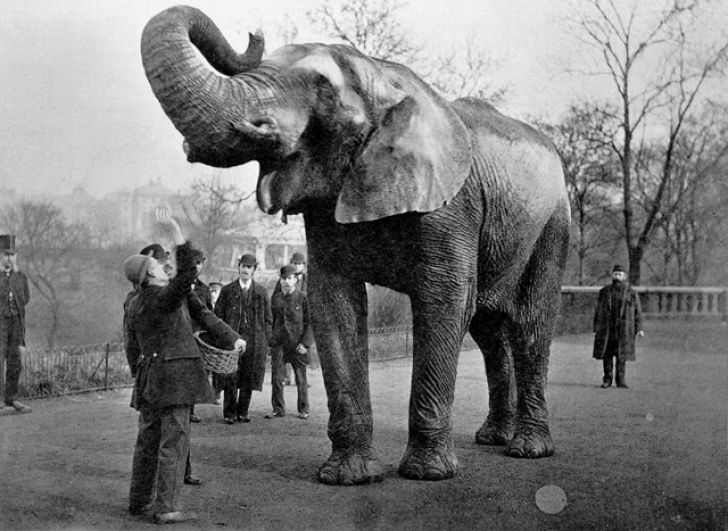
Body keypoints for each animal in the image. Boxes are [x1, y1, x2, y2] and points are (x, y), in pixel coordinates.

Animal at [142, 5, 572, 486]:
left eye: (323, 90)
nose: (253, 33)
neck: (385, 77)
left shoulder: (450, 206)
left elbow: (445, 301)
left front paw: (426, 474)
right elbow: (334, 304)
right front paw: (348, 477)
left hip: (553, 225)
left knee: (530, 323)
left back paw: (527, 449)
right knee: (489, 330)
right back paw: (492, 438)